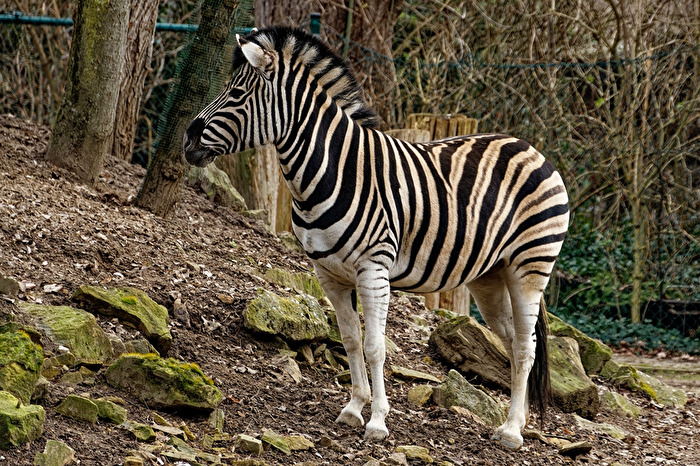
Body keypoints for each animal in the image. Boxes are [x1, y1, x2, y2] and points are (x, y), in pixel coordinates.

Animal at [183, 26, 570, 451]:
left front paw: (378, 422)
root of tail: (529, 147)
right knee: (513, 343)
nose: (187, 138)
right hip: (489, 276)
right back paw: (513, 422)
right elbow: (351, 340)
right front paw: (354, 408)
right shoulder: (329, 275)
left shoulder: (373, 271)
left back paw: (514, 431)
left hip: (529, 268)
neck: (330, 171)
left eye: (236, 93)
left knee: (525, 346)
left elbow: (375, 346)